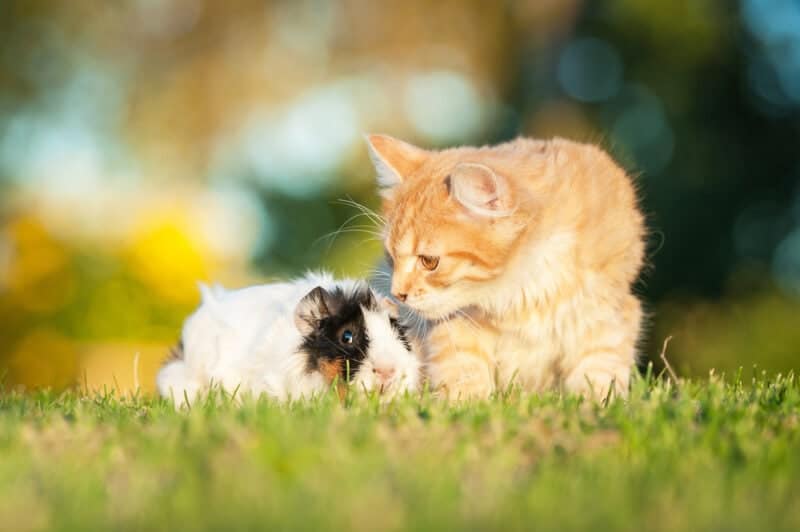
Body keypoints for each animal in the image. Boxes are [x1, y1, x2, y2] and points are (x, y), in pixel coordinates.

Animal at [366, 134, 648, 400]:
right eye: (391, 257)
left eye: (429, 261)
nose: (398, 294)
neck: (525, 292)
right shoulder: (456, 328)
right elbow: (463, 371)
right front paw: (467, 404)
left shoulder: (607, 318)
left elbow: (598, 373)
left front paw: (593, 406)